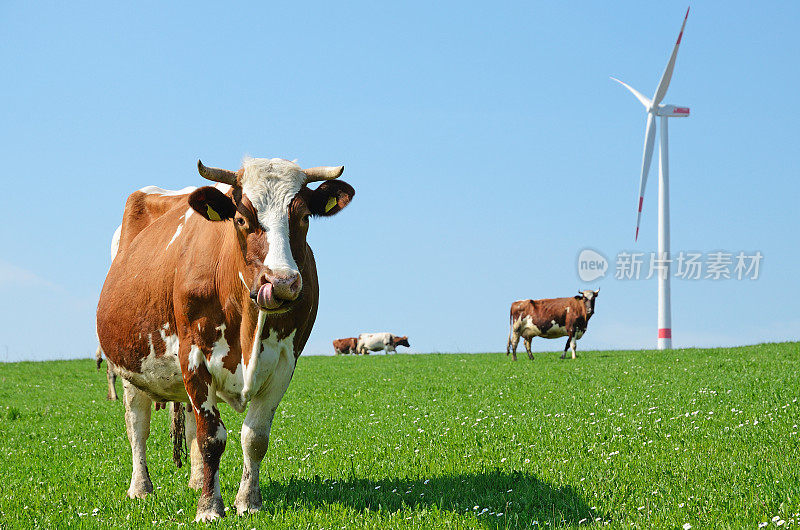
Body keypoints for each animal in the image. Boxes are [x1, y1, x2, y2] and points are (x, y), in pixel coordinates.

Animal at [96, 157, 354, 520]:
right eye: (242, 219)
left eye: (304, 217)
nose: (282, 282)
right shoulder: (193, 358)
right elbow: (211, 438)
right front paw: (209, 507)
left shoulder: (284, 365)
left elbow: (254, 438)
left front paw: (248, 502)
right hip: (130, 368)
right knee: (137, 425)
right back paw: (141, 489)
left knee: (189, 424)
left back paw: (195, 481)